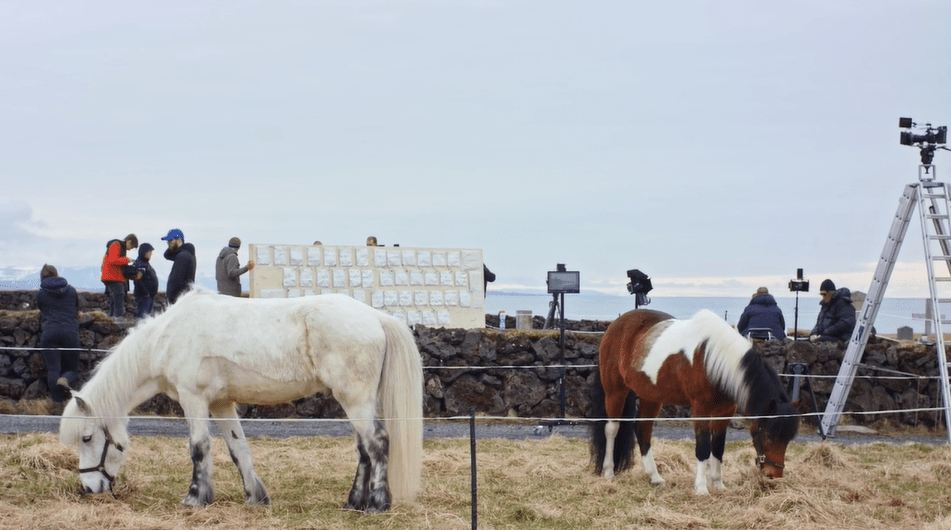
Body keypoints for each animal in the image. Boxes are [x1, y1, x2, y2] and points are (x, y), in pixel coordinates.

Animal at [55, 286, 420, 510]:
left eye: (87, 437)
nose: (88, 488)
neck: (166, 337)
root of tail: (376, 317)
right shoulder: (221, 404)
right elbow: (237, 448)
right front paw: (255, 497)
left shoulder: (193, 400)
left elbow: (199, 448)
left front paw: (195, 497)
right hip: (356, 401)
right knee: (363, 450)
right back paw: (353, 502)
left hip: (355, 399)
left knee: (377, 443)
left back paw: (378, 503)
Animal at [592, 308, 800, 492]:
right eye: (769, 435)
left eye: (788, 439)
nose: (774, 476)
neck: (714, 362)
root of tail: (616, 324)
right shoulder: (701, 410)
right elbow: (703, 447)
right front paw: (701, 488)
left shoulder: (724, 413)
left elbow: (718, 447)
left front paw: (718, 484)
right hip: (615, 391)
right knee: (612, 428)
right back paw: (609, 472)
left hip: (650, 396)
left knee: (643, 430)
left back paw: (654, 477)